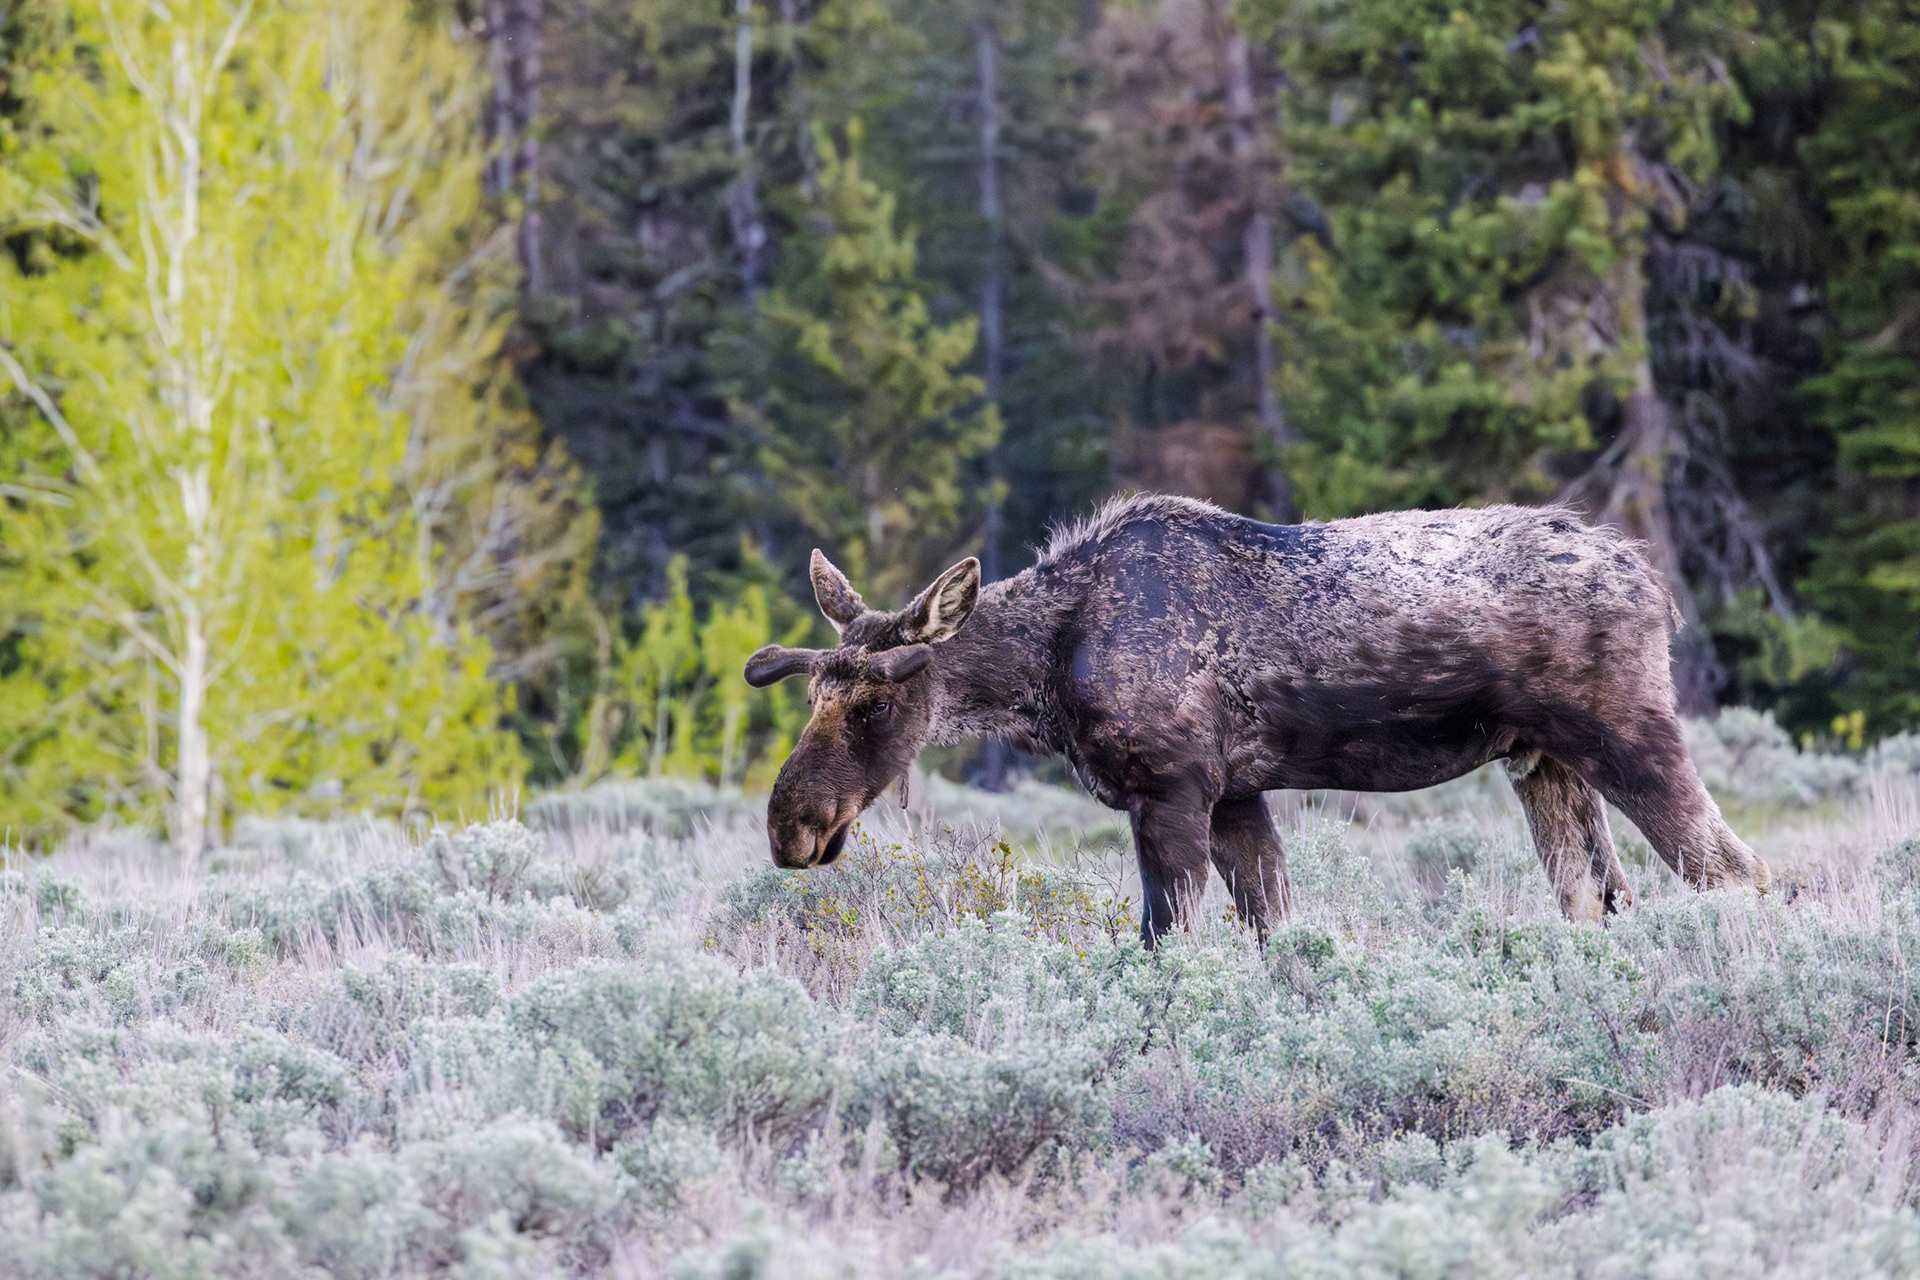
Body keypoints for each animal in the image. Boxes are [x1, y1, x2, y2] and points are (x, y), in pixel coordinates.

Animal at [744, 494, 1772, 946]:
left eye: (878, 701)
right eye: (812, 696)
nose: (791, 826)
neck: (1047, 672)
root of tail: (1655, 586)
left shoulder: (1170, 790)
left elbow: (1163, 940)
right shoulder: (1235, 794)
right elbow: (1276, 929)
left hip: (1627, 733)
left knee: (1742, 875)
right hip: (1543, 761)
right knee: (1597, 897)